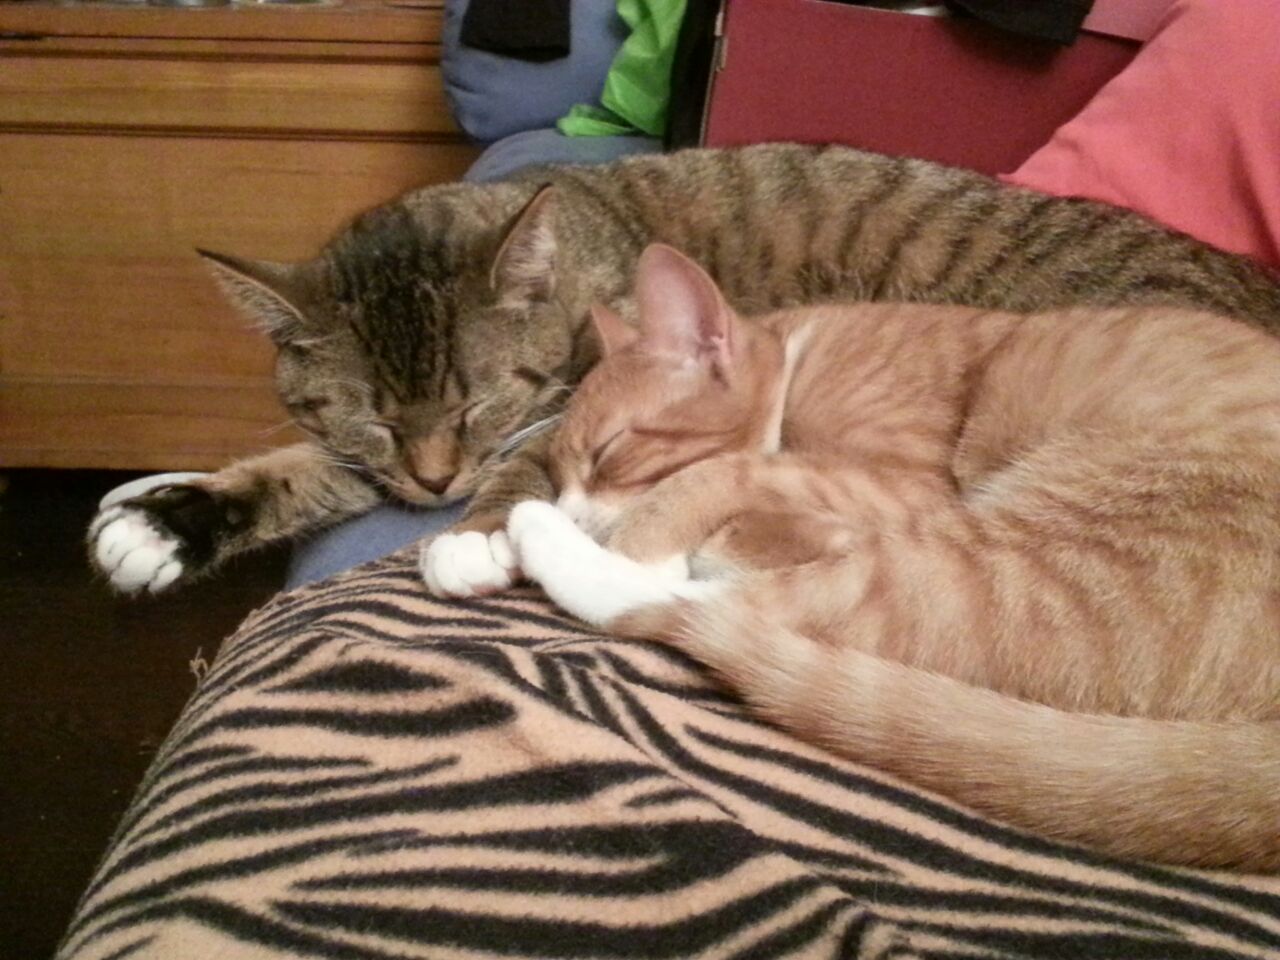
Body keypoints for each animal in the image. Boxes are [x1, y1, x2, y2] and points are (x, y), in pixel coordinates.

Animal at [85, 144, 1280, 600]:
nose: (432, 483)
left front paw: (476, 532)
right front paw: (177, 511)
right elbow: (302, 464)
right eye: (377, 420)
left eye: (476, 402)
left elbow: (526, 465)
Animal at [506, 243, 1280, 871]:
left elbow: (732, 476)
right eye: (558, 468)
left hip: (1024, 556)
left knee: (726, 608)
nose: (568, 508)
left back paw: (551, 540)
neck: (799, 359)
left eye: (607, 455)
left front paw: (664, 531)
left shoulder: (910, 486)